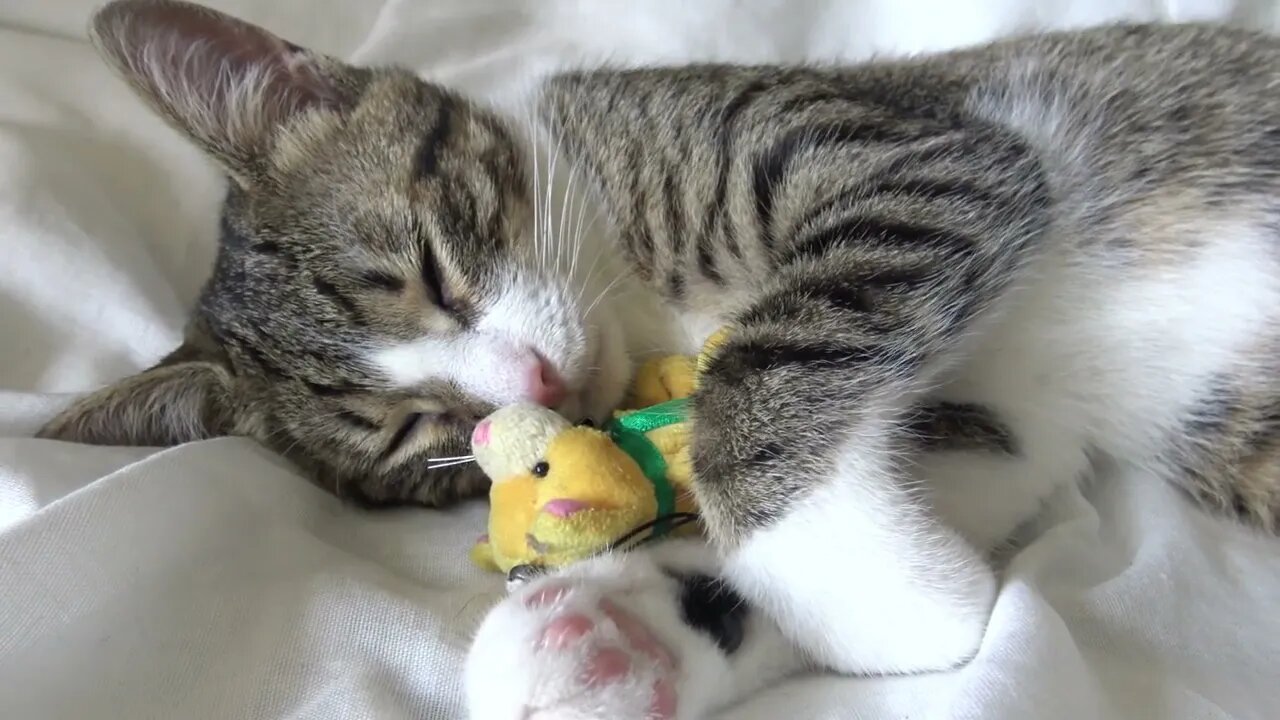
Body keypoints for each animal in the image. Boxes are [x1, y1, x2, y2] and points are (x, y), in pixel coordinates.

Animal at [37, 1, 1280, 717]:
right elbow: (927, 459)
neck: (640, 309)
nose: (530, 393)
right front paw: (624, 629)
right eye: (421, 432)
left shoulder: (919, 153)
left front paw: (883, 602)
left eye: (430, 269)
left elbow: (765, 371)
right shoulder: (1007, 413)